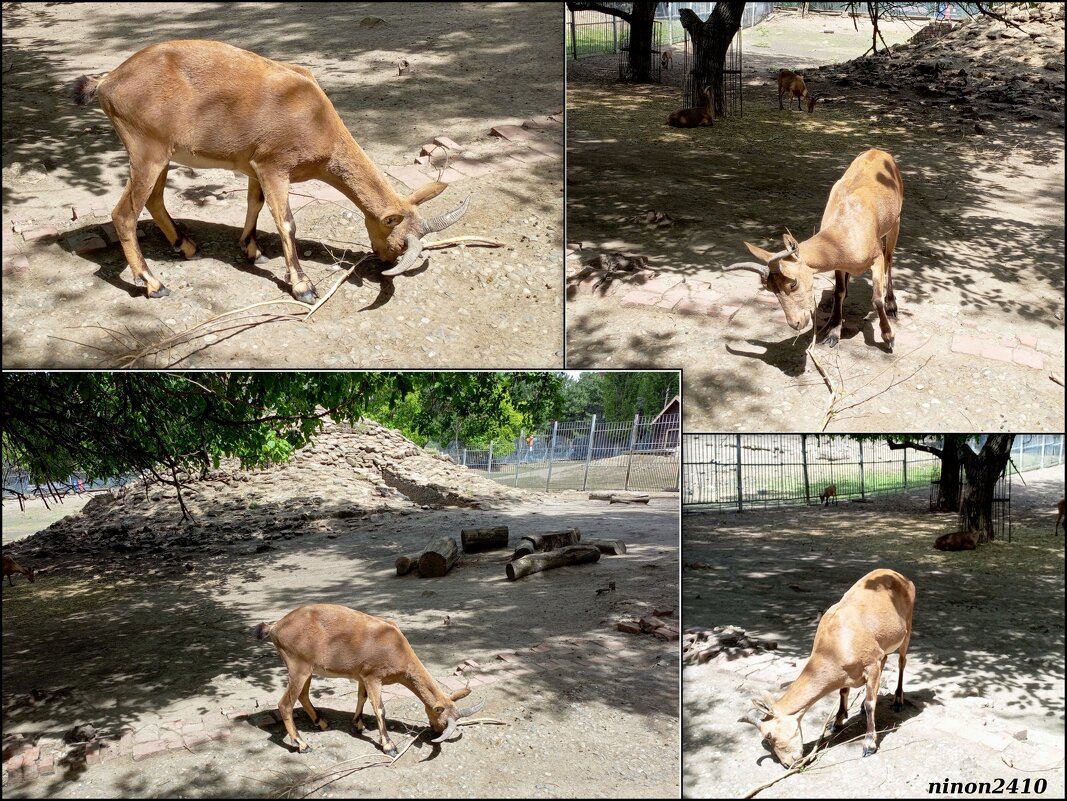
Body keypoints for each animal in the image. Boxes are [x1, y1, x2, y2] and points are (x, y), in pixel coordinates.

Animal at [66, 39, 467, 300]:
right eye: (399, 241)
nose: (383, 261)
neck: (314, 118)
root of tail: (108, 82)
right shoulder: (276, 165)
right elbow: (286, 221)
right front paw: (303, 286)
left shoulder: (255, 165)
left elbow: (254, 204)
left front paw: (250, 249)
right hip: (145, 148)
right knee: (124, 214)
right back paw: (154, 283)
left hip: (162, 153)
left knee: (154, 200)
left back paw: (186, 246)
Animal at [251, 605, 482, 755]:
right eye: (443, 720)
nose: (436, 731)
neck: (396, 647)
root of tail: (275, 627)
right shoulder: (373, 676)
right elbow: (379, 708)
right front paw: (389, 746)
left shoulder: (362, 675)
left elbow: (361, 698)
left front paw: (358, 724)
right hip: (297, 665)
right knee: (285, 704)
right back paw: (302, 744)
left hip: (307, 668)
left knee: (303, 695)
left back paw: (322, 722)